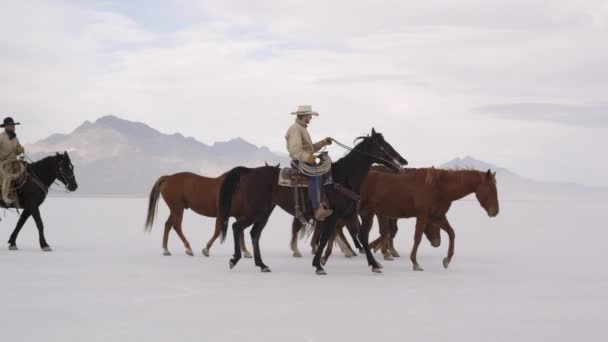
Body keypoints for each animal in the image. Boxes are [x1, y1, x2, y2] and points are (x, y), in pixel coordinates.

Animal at [218, 128, 408, 276]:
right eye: (385, 146)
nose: (403, 161)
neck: (343, 177)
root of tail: (249, 171)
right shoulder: (333, 216)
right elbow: (324, 239)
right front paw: (318, 265)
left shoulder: (350, 214)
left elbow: (361, 237)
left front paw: (374, 265)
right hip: (256, 210)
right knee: (237, 227)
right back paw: (235, 260)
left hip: (265, 212)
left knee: (254, 233)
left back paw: (262, 265)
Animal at [360, 167, 498, 272]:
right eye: (492, 189)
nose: (495, 211)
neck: (438, 187)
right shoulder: (423, 216)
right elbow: (418, 238)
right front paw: (415, 263)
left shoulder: (437, 217)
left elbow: (451, 233)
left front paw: (447, 260)